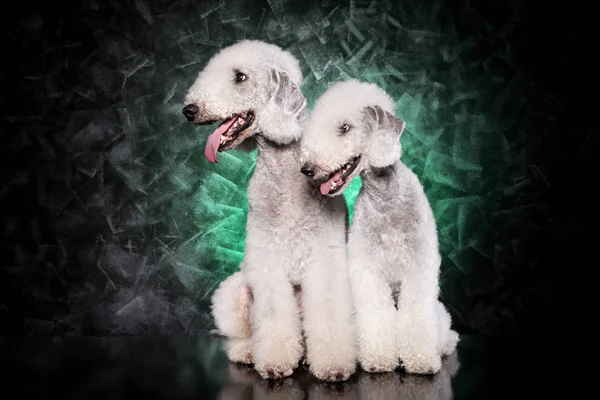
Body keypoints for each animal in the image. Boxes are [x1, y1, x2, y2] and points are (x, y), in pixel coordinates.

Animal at [183, 40, 356, 382]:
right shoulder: (266, 262)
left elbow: (329, 313)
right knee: (241, 336)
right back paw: (249, 352)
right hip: (235, 291)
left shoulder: (325, 261)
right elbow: (273, 313)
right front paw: (275, 362)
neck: (284, 174)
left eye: (240, 77)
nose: (189, 110)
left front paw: (333, 365)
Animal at [300, 79, 460, 374]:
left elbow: (417, 315)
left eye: (345, 128)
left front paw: (420, 361)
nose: (307, 168)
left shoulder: (418, 268)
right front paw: (378, 359)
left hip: (440, 313)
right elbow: (375, 315)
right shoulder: (368, 270)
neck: (386, 199)